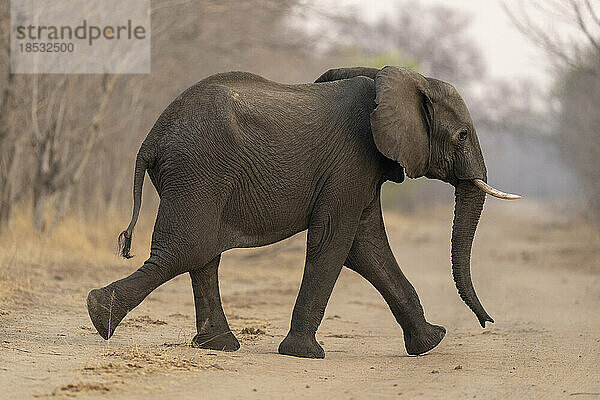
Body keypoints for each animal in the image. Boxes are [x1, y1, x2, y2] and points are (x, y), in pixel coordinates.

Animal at [86, 65, 516, 360]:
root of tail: (152, 137)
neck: (392, 79)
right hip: (197, 169)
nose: (488, 322)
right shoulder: (351, 160)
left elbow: (366, 248)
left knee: (202, 255)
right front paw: (304, 354)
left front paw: (430, 342)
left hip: (194, 175)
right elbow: (335, 242)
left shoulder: (361, 169)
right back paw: (98, 314)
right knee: (186, 251)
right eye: (462, 134)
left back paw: (219, 346)